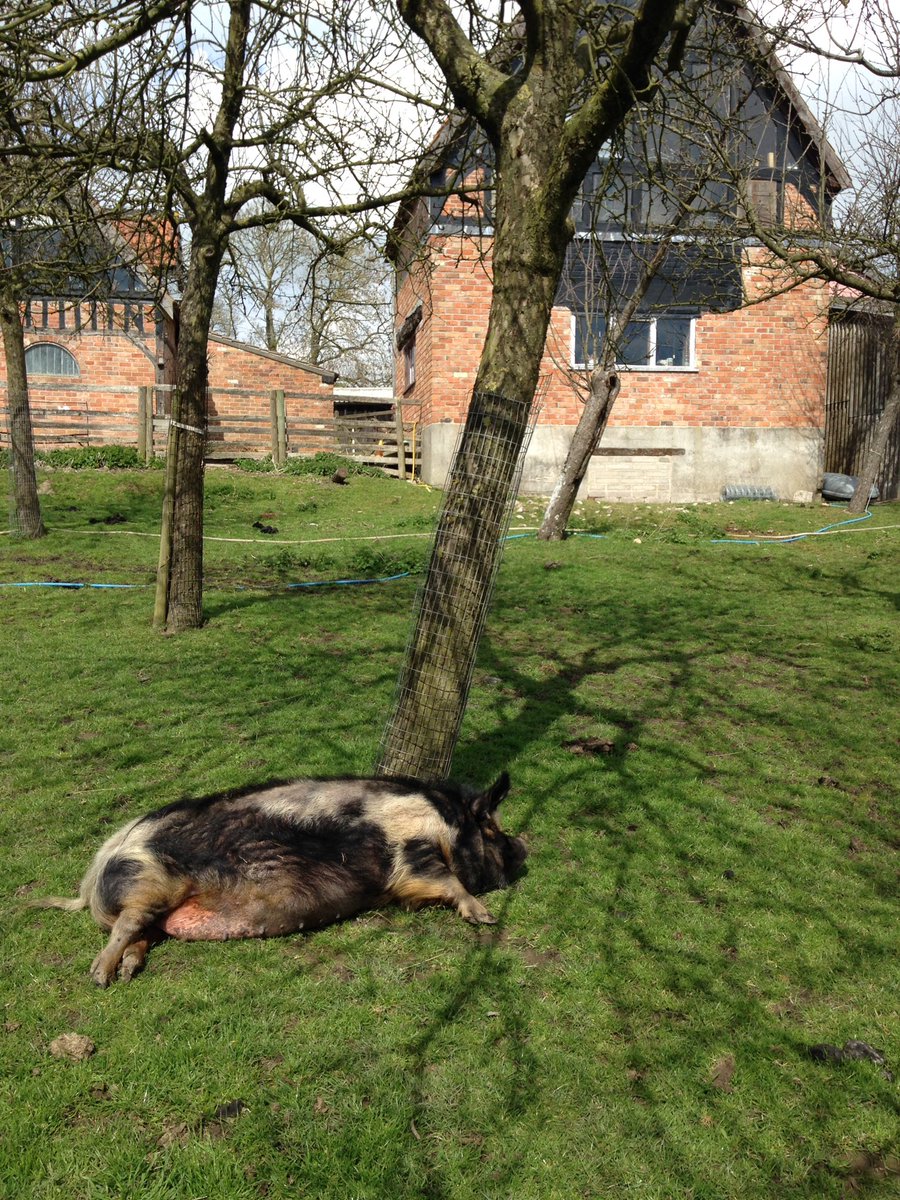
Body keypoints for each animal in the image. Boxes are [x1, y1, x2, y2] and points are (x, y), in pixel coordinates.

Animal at [31, 772, 527, 987]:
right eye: (492, 831)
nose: (525, 848)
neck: (446, 824)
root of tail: (98, 867)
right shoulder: (412, 854)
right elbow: (449, 883)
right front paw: (486, 919)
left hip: (162, 904)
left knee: (142, 934)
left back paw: (128, 971)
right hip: (151, 882)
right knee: (128, 925)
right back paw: (100, 978)